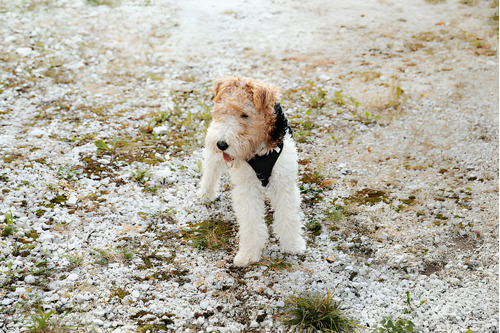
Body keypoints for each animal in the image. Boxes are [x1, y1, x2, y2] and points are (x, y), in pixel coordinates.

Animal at [197, 76, 306, 266]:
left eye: (245, 115)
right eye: (222, 111)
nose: (222, 144)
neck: (260, 150)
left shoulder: (283, 182)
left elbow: (288, 216)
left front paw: (293, 245)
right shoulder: (247, 187)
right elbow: (251, 221)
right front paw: (248, 254)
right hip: (213, 152)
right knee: (210, 171)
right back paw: (206, 194)